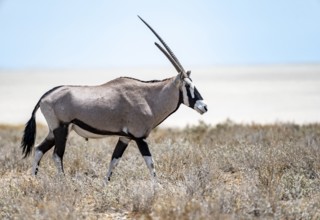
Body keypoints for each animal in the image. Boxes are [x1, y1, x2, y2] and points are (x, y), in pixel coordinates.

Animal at [21, 15, 209, 182]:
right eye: (188, 86)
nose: (204, 107)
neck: (149, 98)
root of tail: (45, 96)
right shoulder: (139, 137)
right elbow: (150, 163)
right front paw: (157, 189)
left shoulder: (125, 137)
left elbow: (114, 161)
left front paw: (105, 185)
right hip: (62, 129)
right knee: (57, 155)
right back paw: (63, 183)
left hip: (54, 131)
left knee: (39, 149)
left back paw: (33, 180)